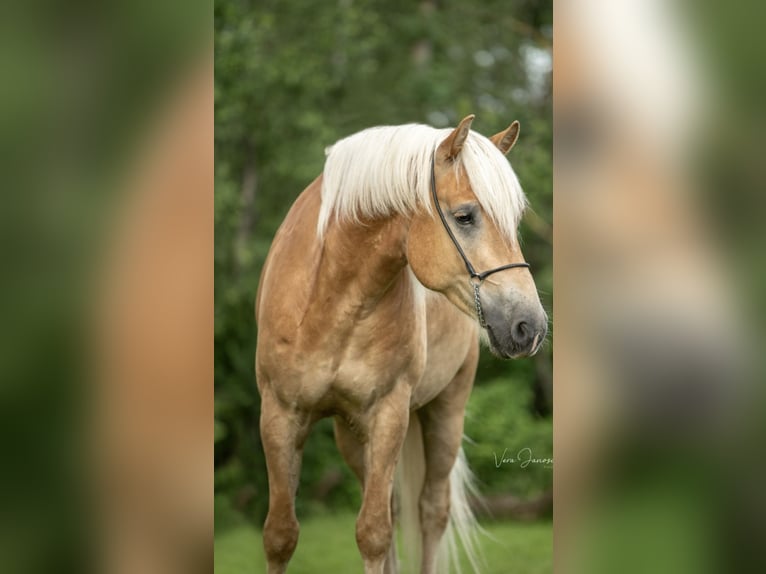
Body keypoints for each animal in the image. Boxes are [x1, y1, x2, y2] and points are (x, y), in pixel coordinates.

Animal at [258, 115, 552, 572]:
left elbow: (373, 533)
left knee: (430, 510)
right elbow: (281, 535)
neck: (329, 300)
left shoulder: (388, 414)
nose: (530, 326)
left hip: (445, 413)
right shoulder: (279, 415)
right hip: (351, 434)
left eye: (515, 218)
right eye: (464, 217)